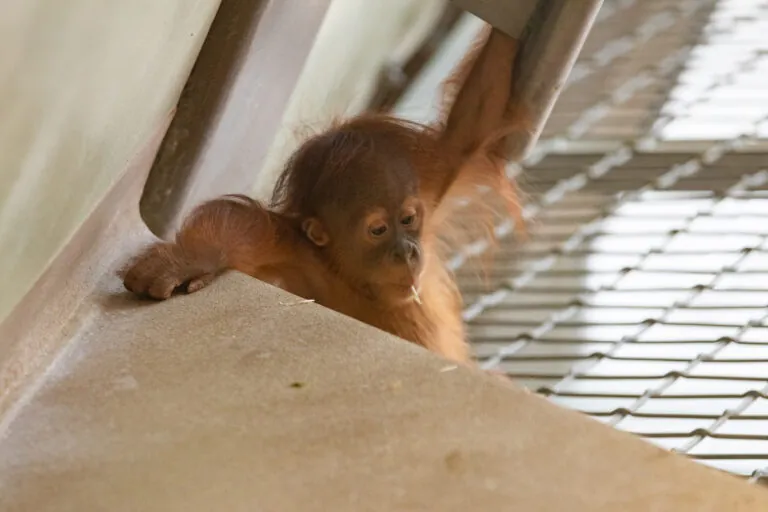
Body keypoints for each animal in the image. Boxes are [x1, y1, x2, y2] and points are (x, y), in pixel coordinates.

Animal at [123, 25, 526, 365]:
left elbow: (476, 122)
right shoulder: (298, 255)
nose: (408, 251)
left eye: (409, 219)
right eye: (378, 230)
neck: (358, 281)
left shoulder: (436, 177)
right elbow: (246, 230)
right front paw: (189, 259)